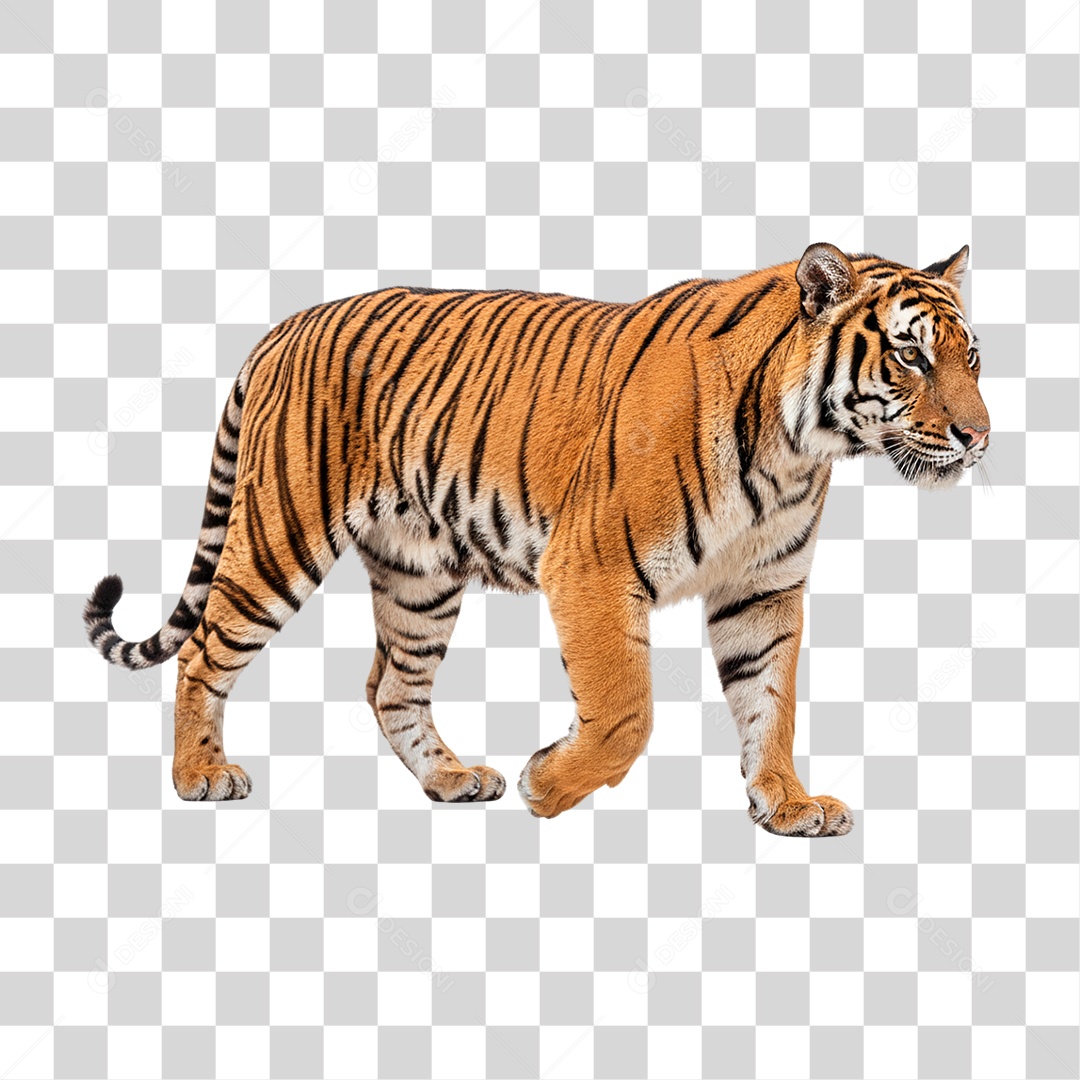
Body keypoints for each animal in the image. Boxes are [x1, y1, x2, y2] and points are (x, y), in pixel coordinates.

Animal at [84, 242, 990, 836]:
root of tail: (285, 326)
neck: (800, 447)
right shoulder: (593, 564)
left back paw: (451, 779)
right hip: (280, 536)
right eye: (910, 357)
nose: (979, 437)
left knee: (392, 686)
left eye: (972, 356)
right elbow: (626, 711)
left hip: (419, 575)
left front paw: (786, 803)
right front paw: (547, 786)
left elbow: (771, 701)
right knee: (205, 651)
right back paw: (201, 775)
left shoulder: (762, 588)